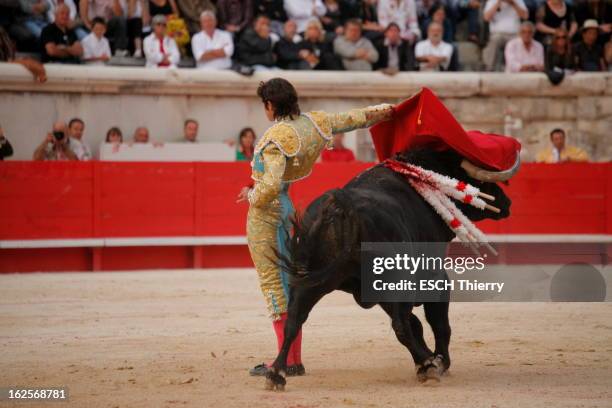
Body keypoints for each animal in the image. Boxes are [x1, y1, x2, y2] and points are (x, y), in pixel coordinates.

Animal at [266, 148, 512, 390]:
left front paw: (428, 358)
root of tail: (341, 209)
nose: (507, 203)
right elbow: (437, 322)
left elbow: (416, 324)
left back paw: (276, 373)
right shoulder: (435, 277)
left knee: (293, 320)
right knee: (402, 326)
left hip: (308, 280)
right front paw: (439, 360)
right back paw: (428, 366)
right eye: (481, 181)